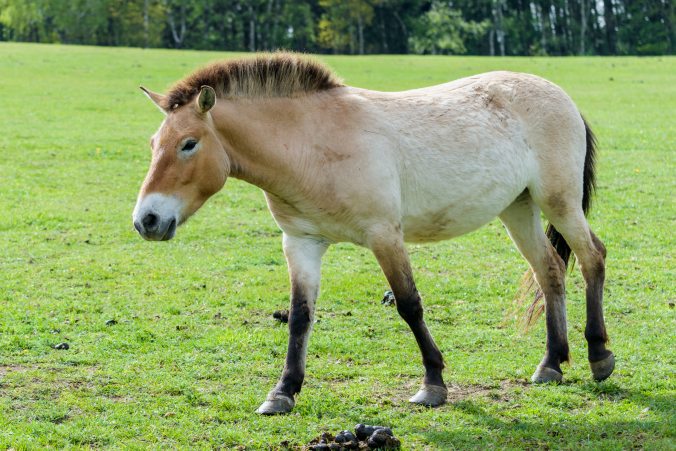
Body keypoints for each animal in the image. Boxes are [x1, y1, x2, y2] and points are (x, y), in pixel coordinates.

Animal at [131, 51, 612, 414]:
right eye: (154, 144)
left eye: (189, 143)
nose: (146, 220)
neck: (310, 145)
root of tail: (561, 97)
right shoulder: (301, 243)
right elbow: (300, 316)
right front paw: (282, 393)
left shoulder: (384, 236)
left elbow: (409, 305)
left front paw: (432, 384)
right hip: (518, 208)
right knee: (550, 271)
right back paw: (551, 364)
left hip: (559, 202)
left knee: (592, 257)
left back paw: (599, 356)